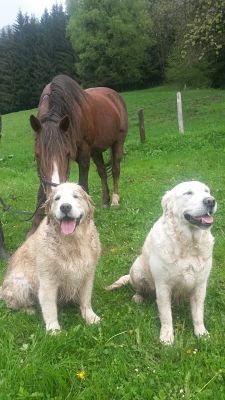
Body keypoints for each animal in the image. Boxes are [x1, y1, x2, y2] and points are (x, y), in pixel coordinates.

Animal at [0, 184, 100, 332]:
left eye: (76, 196)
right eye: (57, 198)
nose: (65, 207)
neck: (71, 242)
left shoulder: (87, 274)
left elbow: (86, 299)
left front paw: (90, 316)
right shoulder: (48, 280)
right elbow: (49, 307)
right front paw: (53, 329)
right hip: (20, 283)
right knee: (12, 303)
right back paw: (29, 310)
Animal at [30, 74, 128, 234]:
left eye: (67, 154)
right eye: (37, 155)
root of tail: (115, 95)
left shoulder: (84, 155)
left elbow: (83, 185)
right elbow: (41, 192)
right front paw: (36, 224)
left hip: (118, 142)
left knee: (115, 170)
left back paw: (114, 199)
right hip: (96, 151)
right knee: (102, 172)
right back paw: (105, 200)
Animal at [108, 181, 217, 344]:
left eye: (206, 191)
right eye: (188, 193)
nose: (211, 201)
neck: (188, 243)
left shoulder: (200, 285)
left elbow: (198, 314)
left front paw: (201, 333)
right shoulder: (163, 285)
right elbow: (166, 315)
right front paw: (166, 337)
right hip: (137, 270)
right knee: (138, 288)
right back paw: (138, 297)